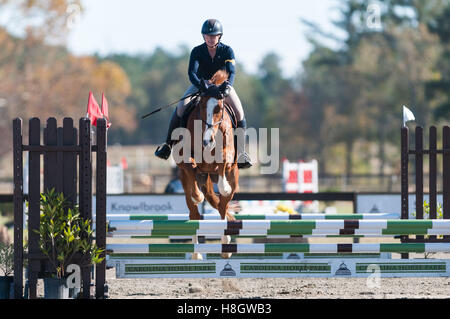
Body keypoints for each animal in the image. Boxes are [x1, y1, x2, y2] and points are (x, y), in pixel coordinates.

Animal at [175, 69, 239, 260]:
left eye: (219, 107)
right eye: (202, 105)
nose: (207, 142)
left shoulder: (228, 156)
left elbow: (224, 159)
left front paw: (224, 186)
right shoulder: (184, 158)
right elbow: (190, 165)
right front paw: (198, 196)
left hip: (233, 179)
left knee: (223, 208)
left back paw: (225, 248)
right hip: (189, 184)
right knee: (194, 213)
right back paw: (196, 254)